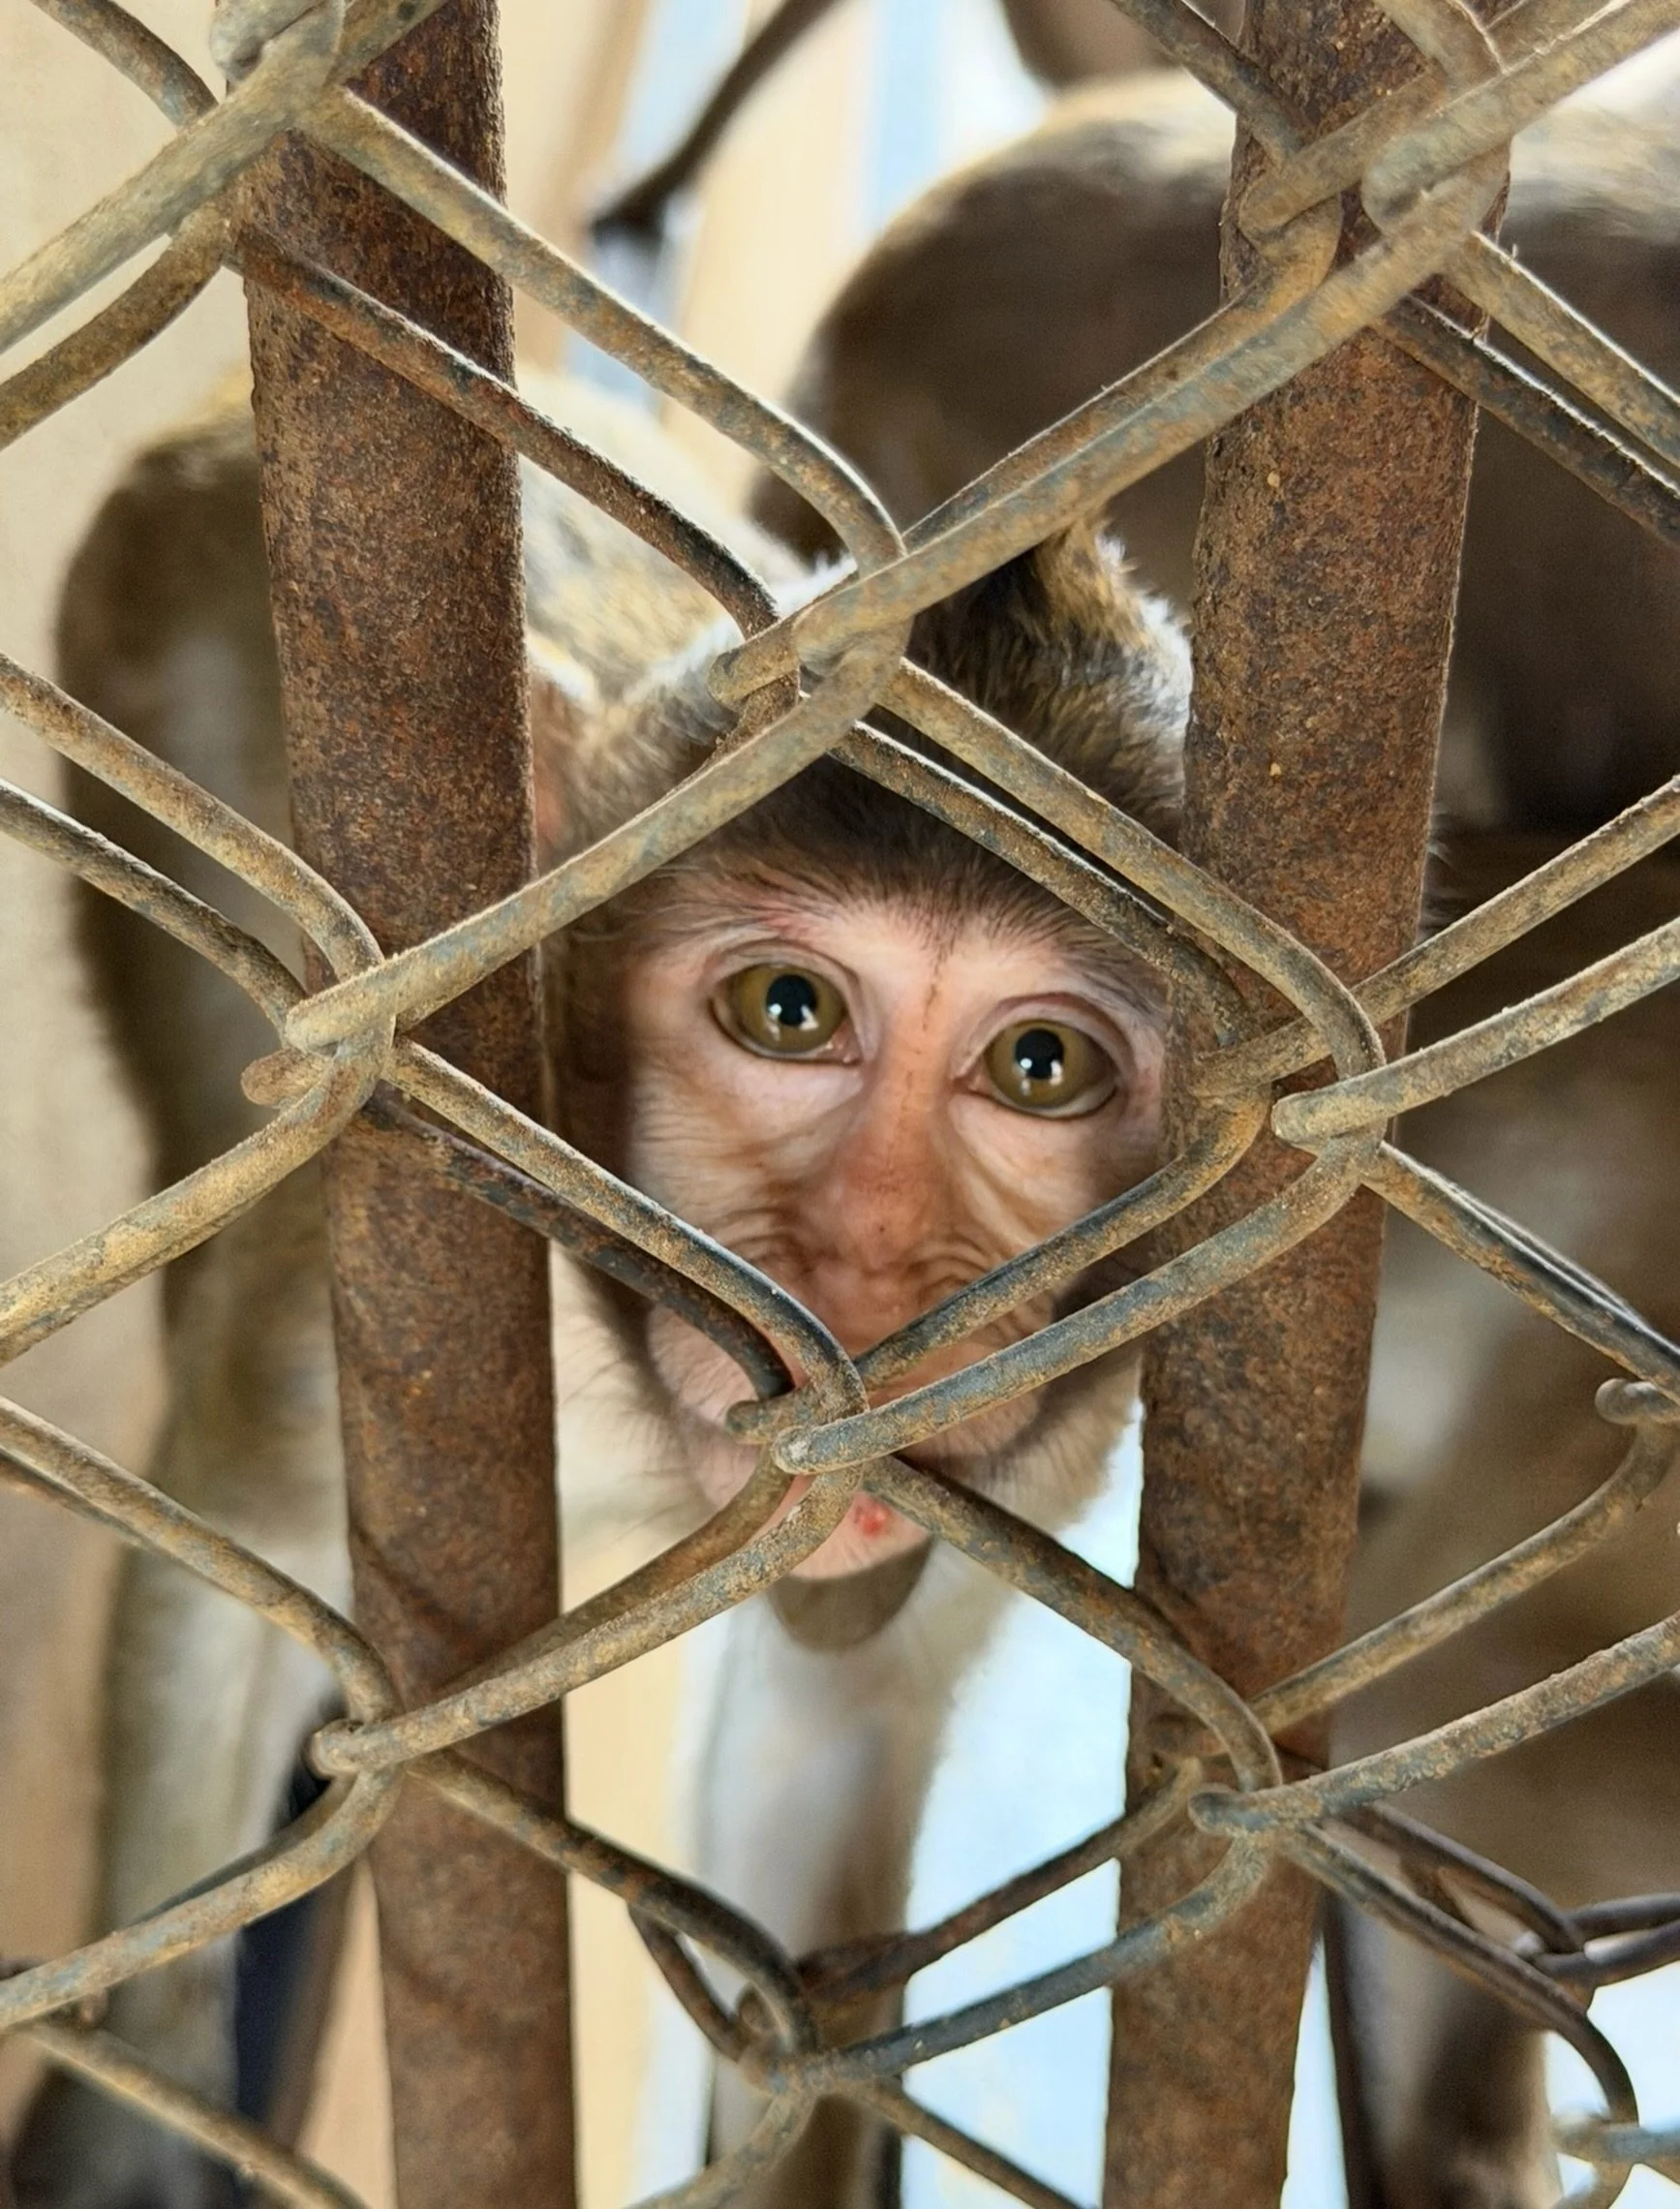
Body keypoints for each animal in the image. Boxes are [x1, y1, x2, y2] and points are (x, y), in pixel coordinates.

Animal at [9, 68, 1680, 2209]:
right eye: (787, 1015)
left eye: (1040, 1067)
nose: (878, 1299)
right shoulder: (388, 1299)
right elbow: (245, 1566)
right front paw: (132, 2117)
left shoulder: (1042, 1450)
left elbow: (820, 1759)